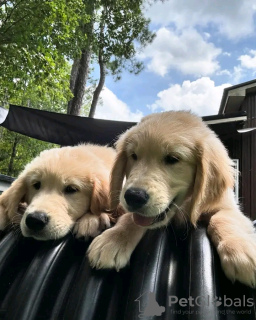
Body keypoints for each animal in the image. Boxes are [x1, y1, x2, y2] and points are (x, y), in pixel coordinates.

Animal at [87, 112, 256, 288]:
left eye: (172, 158)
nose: (133, 196)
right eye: (133, 156)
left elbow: (223, 218)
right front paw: (113, 239)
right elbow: (130, 219)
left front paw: (239, 251)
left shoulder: (228, 206)